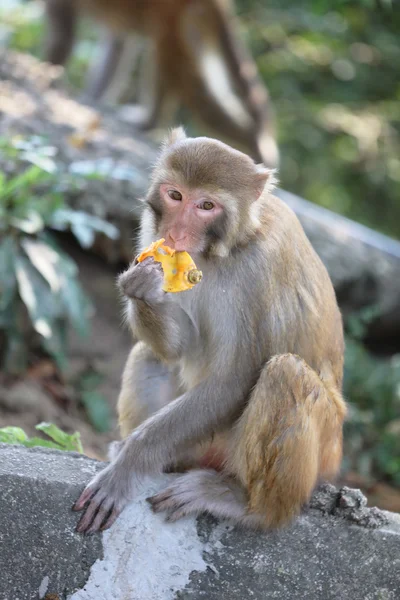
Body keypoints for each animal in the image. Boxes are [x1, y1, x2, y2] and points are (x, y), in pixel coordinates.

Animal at [41, 0, 278, 166]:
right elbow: (119, 42)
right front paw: (92, 98)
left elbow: (63, 35)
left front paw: (48, 71)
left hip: (180, 17)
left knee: (180, 76)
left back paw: (254, 146)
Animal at [72, 127, 346, 536]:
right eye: (175, 195)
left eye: (206, 206)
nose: (175, 233)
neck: (228, 247)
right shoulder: (150, 231)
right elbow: (177, 349)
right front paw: (143, 288)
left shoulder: (260, 267)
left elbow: (233, 381)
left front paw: (129, 466)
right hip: (198, 447)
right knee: (151, 355)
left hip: (321, 452)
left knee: (286, 373)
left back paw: (248, 506)